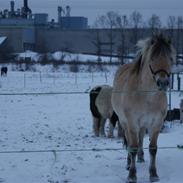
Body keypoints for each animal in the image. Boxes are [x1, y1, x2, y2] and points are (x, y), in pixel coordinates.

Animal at [111, 33, 176, 182]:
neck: (147, 96)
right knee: (129, 142)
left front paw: (153, 174)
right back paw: (129, 163)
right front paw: (132, 175)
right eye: (152, 58)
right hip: (125, 123)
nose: (163, 83)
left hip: (142, 124)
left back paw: (140, 158)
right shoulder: (132, 123)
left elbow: (153, 148)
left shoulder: (156, 124)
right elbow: (133, 147)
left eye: (170, 58)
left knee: (140, 137)